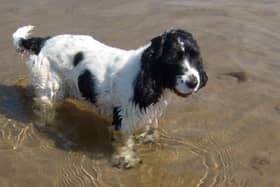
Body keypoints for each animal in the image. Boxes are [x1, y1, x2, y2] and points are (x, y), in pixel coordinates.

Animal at [12, 25, 208, 169]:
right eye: (173, 60)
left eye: (195, 56)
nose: (194, 81)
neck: (144, 73)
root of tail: (43, 41)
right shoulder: (123, 118)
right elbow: (125, 142)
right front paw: (126, 160)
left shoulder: (147, 112)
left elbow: (150, 126)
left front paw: (147, 137)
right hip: (49, 87)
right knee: (44, 107)